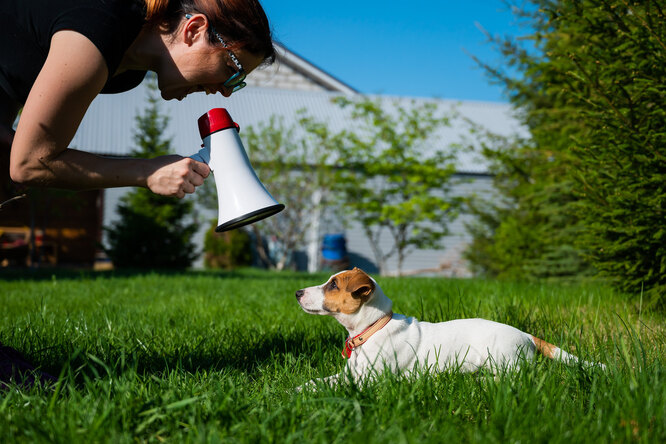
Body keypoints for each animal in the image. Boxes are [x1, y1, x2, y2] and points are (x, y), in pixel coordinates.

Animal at [294, 266, 604, 386]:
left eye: (333, 285)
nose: (297, 293)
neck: (373, 328)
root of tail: (525, 334)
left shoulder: (370, 380)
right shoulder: (350, 374)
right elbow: (321, 382)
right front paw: (300, 389)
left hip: (503, 359)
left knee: (518, 377)